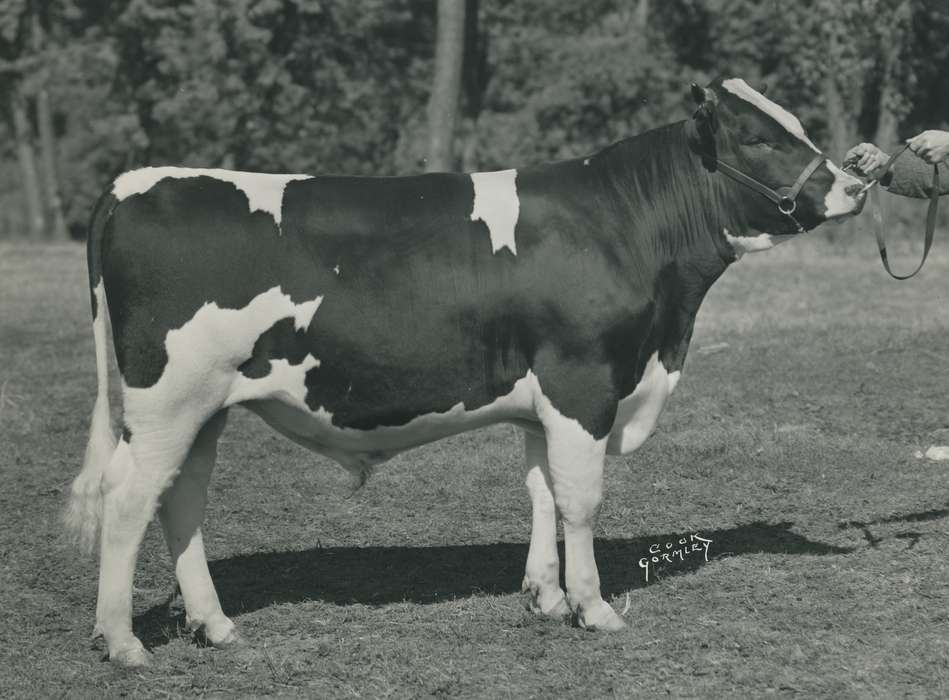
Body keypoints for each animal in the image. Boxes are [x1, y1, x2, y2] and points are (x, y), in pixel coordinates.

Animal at [66, 78, 866, 667]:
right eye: (759, 137)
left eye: (794, 123)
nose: (856, 182)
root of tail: (133, 182)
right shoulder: (583, 382)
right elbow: (581, 501)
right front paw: (594, 607)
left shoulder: (545, 397)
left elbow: (542, 491)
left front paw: (545, 598)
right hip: (168, 399)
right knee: (128, 498)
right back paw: (124, 642)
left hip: (204, 407)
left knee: (180, 499)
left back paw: (214, 624)